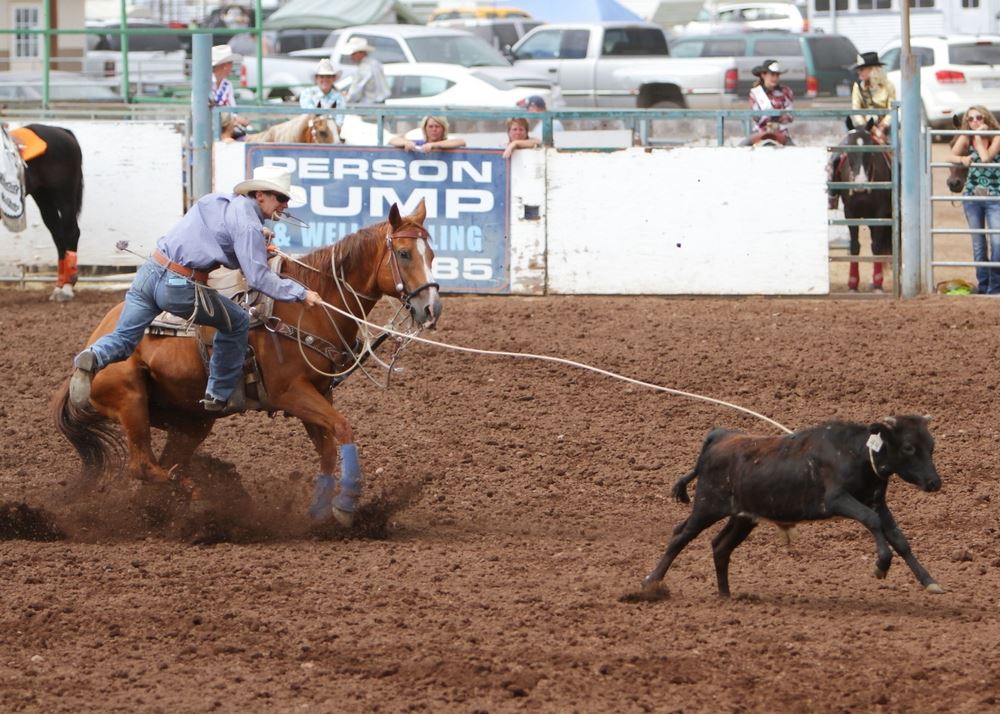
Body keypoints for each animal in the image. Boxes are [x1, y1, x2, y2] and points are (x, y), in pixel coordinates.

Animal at [1, 123, 84, 301]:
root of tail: (62, 131)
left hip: (64, 196)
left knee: (71, 232)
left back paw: (67, 289)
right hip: (43, 197)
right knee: (58, 236)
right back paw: (59, 286)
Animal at [54, 201, 441, 527]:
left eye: (433, 254)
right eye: (404, 253)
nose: (432, 308)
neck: (313, 307)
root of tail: (90, 346)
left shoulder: (318, 394)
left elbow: (328, 449)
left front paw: (319, 512)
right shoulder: (290, 393)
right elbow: (343, 429)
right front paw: (344, 507)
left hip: (189, 421)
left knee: (161, 465)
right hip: (131, 401)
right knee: (144, 466)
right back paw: (205, 499)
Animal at [640, 415, 944, 597]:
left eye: (930, 446)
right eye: (908, 447)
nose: (934, 482)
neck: (854, 453)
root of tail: (719, 437)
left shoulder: (878, 503)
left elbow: (898, 538)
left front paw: (929, 581)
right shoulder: (838, 500)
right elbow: (871, 521)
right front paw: (881, 564)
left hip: (743, 516)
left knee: (720, 545)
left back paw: (725, 594)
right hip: (707, 507)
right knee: (680, 536)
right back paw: (650, 582)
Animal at [831, 128, 893, 292]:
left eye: (870, 150)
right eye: (849, 150)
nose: (860, 183)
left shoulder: (880, 214)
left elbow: (876, 245)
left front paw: (878, 284)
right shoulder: (849, 213)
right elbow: (854, 246)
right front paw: (853, 284)